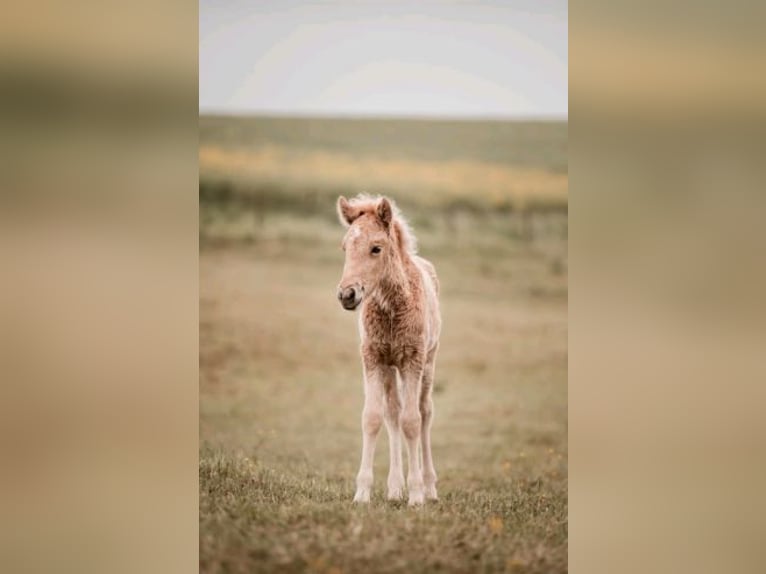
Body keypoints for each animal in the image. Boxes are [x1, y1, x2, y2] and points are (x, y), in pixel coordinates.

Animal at [338, 196, 444, 506]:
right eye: (345, 247)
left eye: (376, 248)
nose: (347, 295)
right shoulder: (373, 358)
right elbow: (373, 418)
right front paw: (362, 493)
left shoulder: (412, 360)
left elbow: (412, 421)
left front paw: (417, 495)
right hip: (389, 367)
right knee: (393, 413)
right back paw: (395, 488)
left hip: (428, 363)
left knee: (425, 412)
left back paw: (429, 487)